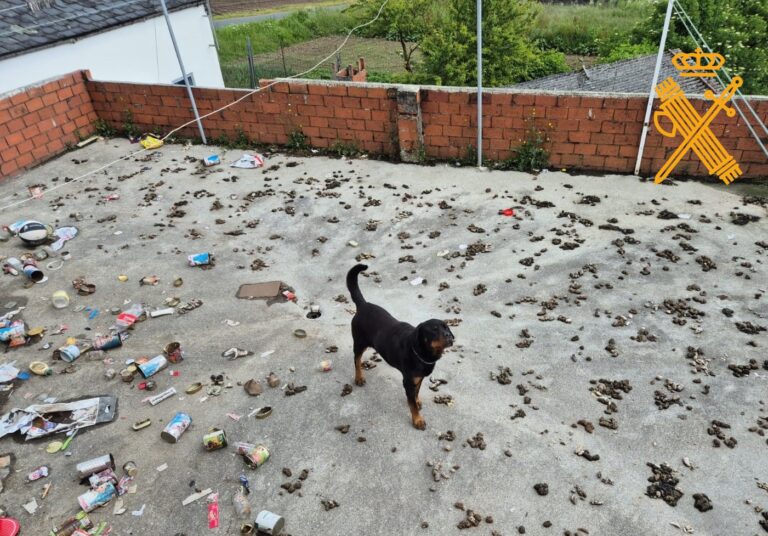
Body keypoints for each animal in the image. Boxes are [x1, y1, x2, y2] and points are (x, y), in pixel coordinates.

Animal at [344, 264, 452, 432]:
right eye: (434, 329)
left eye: (446, 327)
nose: (449, 336)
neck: (422, 354)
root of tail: (363, 305)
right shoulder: (408, 380)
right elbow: (411, 404)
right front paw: (417, 420)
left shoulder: (418, 378)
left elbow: (416, 392)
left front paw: (417, 400)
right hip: (359, 342)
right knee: (356, 360)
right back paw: (359, 377)